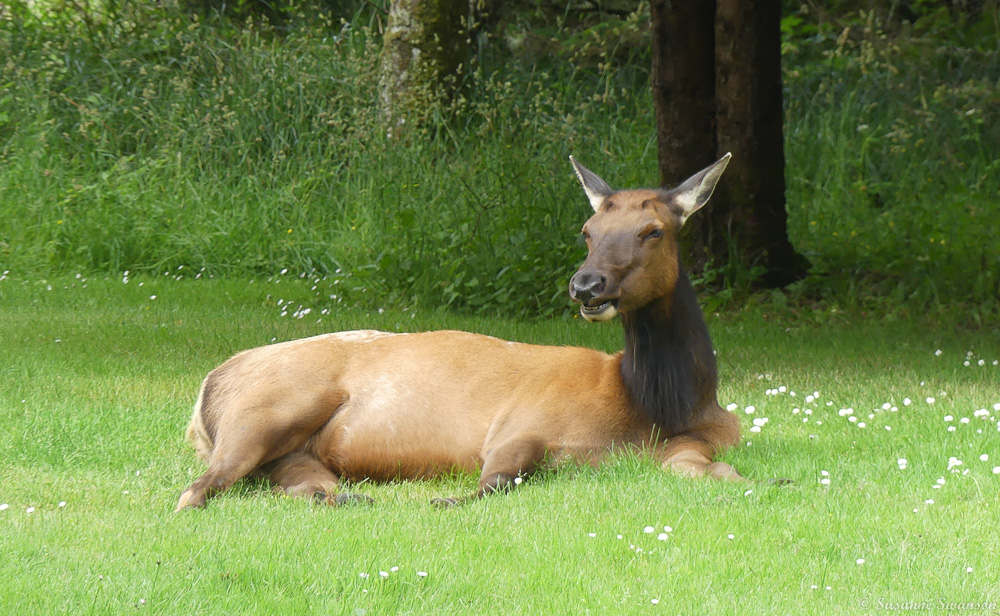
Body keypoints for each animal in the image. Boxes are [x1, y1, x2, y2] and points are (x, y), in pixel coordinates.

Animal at [175, 153, 742, 511]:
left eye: (654, 230)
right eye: (588, 232)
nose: (586, 285)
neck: (651, 405)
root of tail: (205, 392)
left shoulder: (704, 441)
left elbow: (722, 471)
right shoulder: (520, 424)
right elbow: (491, 483)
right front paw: (441, 498)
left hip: (293, 452)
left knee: (297, 486)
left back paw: (350, 497)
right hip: (267, 409)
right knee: (193, 492)